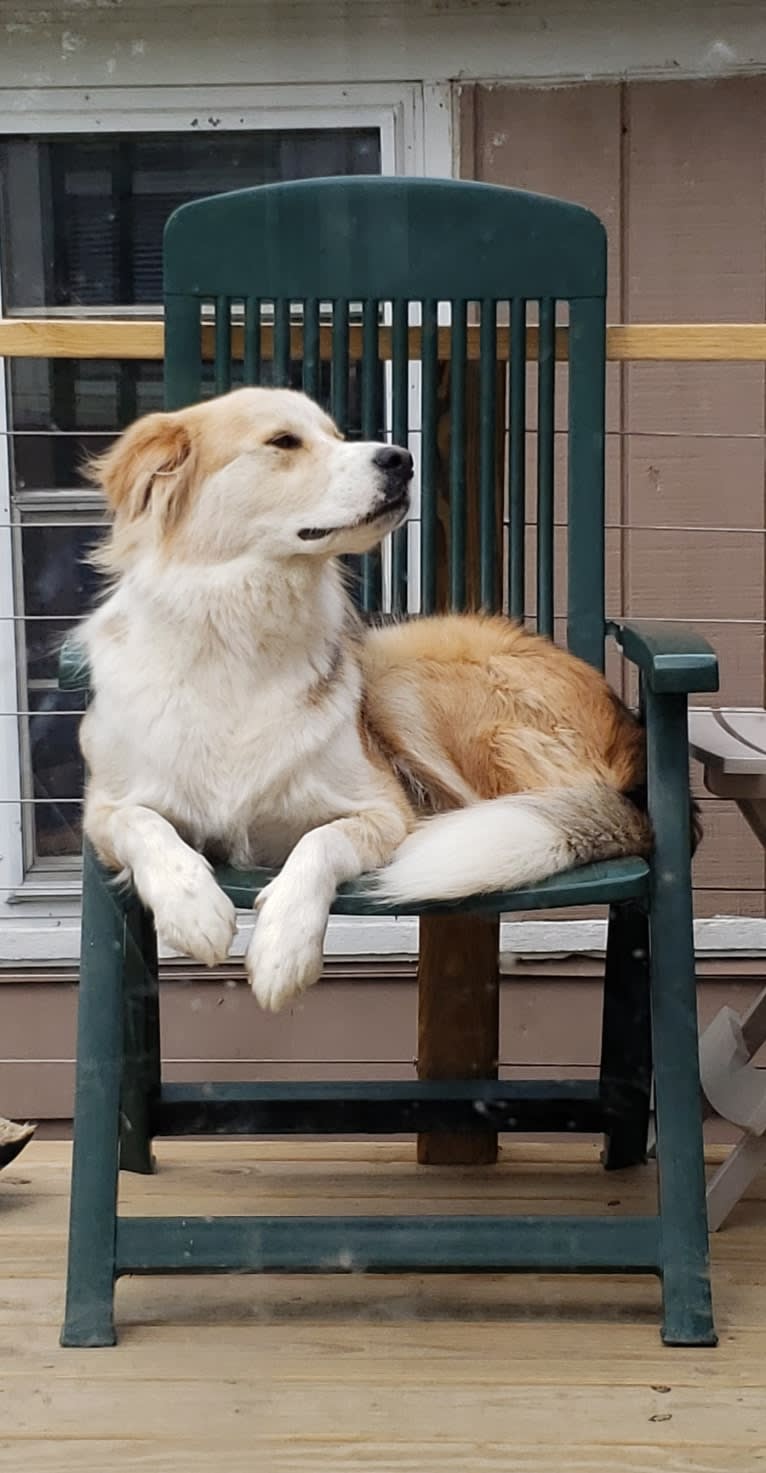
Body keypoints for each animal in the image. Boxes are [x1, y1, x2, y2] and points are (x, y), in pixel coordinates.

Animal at [79, 382, 651, 1013]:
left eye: (336, 434)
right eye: (284, 441)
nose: (401, 459)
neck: (237, 637)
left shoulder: (381, 810)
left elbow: (320, 841)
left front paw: (283, 946)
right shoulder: (103, 808)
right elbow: (143, 823)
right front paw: (192, 907)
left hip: (396, 673)